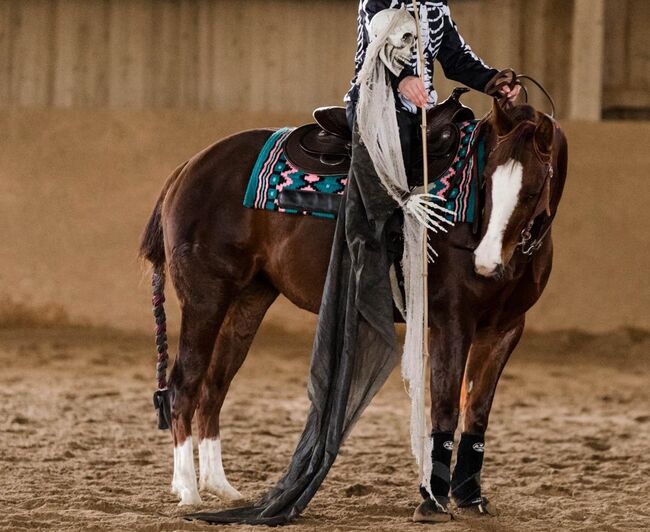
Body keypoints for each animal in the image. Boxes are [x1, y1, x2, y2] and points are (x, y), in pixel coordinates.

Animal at [138, 97, 568, 512]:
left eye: (532, 190)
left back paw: (220, 487)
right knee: (183, 387)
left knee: (214, 388)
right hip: (205, 297)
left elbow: (477, 411)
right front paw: (433, 500)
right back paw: (188, 490)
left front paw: (470, 497)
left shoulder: (504, 329)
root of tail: (188, 168)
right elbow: (446, 405)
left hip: (247, 302)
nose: (486, 263)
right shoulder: (451, 322)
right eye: (486, 182)